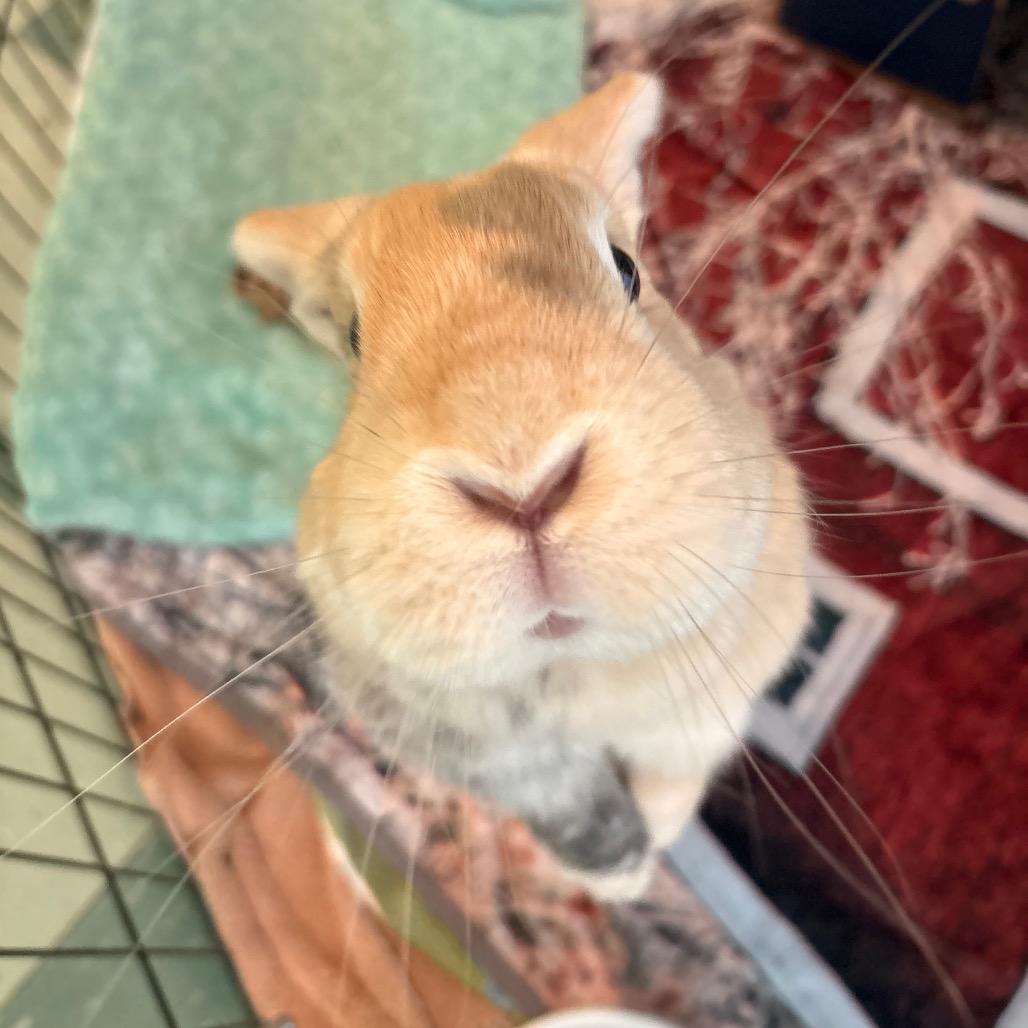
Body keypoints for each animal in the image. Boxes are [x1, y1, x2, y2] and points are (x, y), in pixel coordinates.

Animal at [230, 73, 811, 899]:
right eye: (353, 338)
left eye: (628, 269)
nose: (523, 493)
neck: (570, 664)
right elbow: (561, 795)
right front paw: (619, 876)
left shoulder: (706, 708)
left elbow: (670, 784)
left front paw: (643, 858)